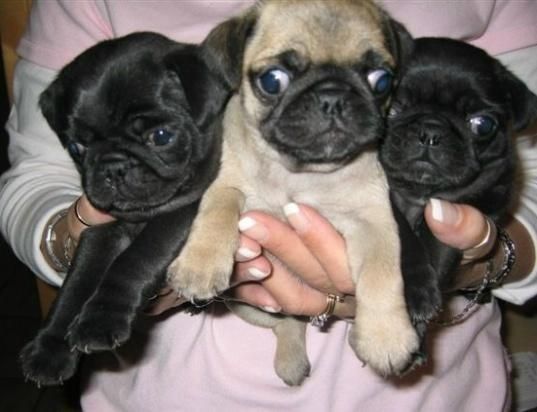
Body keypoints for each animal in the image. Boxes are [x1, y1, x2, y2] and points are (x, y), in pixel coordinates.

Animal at [19, 32, 239, 386]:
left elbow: (134, 260)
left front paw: (100, 321)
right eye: (76, 148)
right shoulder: (101, 229)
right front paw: (50, 348)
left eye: (161, 136)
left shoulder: (179, 214)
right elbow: (77, 282)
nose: (112, 167)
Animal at [168, 0, 418, 386]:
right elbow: (218, 208)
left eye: (381, 80)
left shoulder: (373, 221)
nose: (333, 97)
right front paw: (201, 264)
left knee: (291, 322)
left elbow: (382, 271)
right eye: (273, 80)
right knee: (284, 323)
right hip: (252, 305)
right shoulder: (227, 184)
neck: (301, 174)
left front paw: (385, 338)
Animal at [378, 37, 536, 350]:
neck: (420, 191)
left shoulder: (460, 208)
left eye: (482, 124)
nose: (430, 131)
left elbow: (437, 246)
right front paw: (414, 293)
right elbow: (402, 234)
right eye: (393, 107)